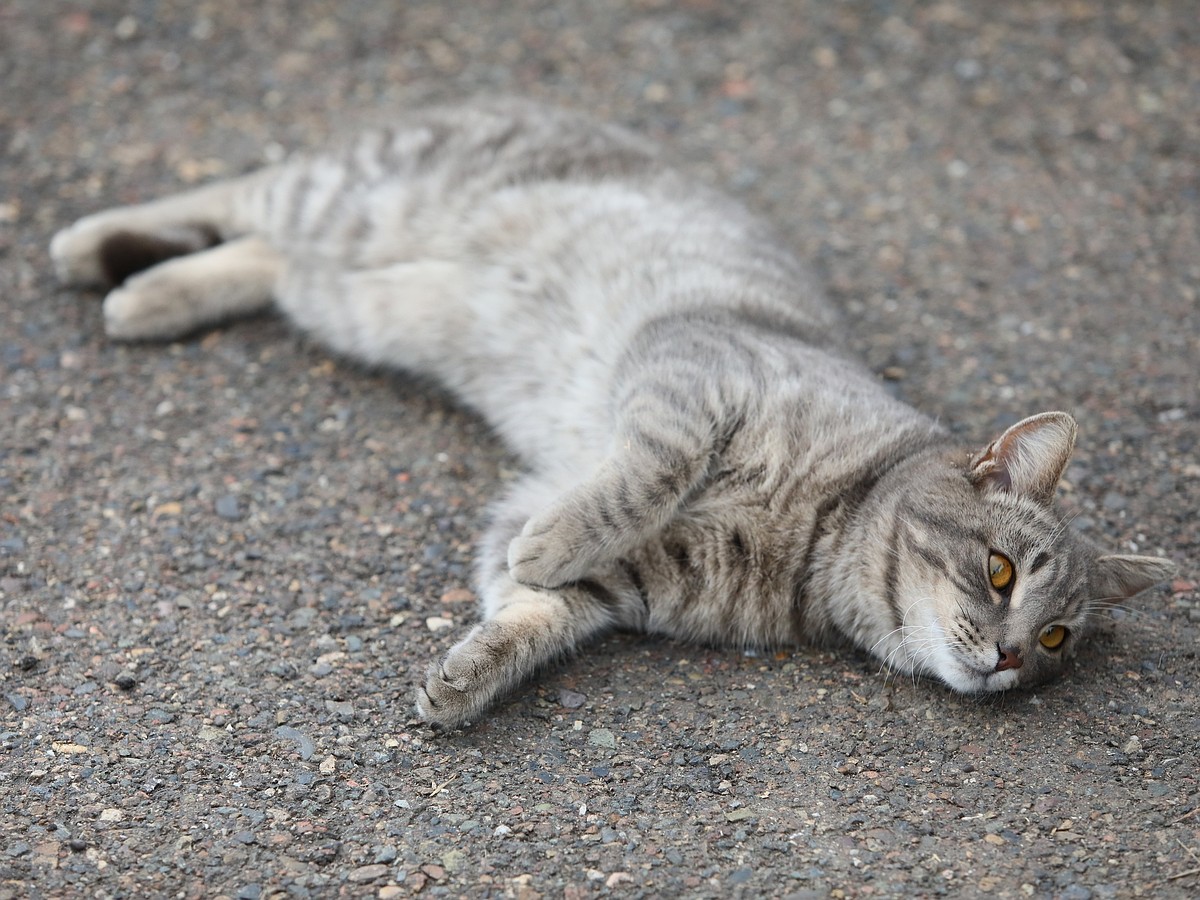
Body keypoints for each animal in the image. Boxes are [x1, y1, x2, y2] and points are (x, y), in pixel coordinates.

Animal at [49, 102, 1171, 729]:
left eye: (1060, 639)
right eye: (1001, 573)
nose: (1014, 659)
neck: (822, 535)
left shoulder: (630, 575)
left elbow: (534, 612)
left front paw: (471, 671)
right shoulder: (689, 377)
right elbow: (635, 479)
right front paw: (550, 545)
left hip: (349, 290)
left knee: (269, 261)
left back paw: (147, 287)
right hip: (352, 196)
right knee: (245, 191)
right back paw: (95, 248)